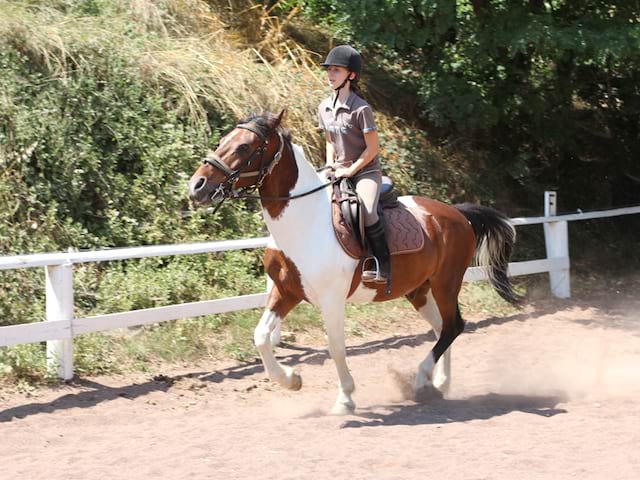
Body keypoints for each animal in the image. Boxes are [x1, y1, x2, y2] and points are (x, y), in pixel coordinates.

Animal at [189, 110, 520, 414]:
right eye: (222, 141)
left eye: (244, 147)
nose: (197, 186)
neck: (304, 222)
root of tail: (457, 214)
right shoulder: (286, 291)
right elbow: (260, 336)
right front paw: (291, 380)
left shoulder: (331, 299)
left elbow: (336, 347)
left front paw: (345, 399)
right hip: (420, 290)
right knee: (442, 328)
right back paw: (439, 384)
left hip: (446, 283)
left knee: (453, 326)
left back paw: (422, 378)